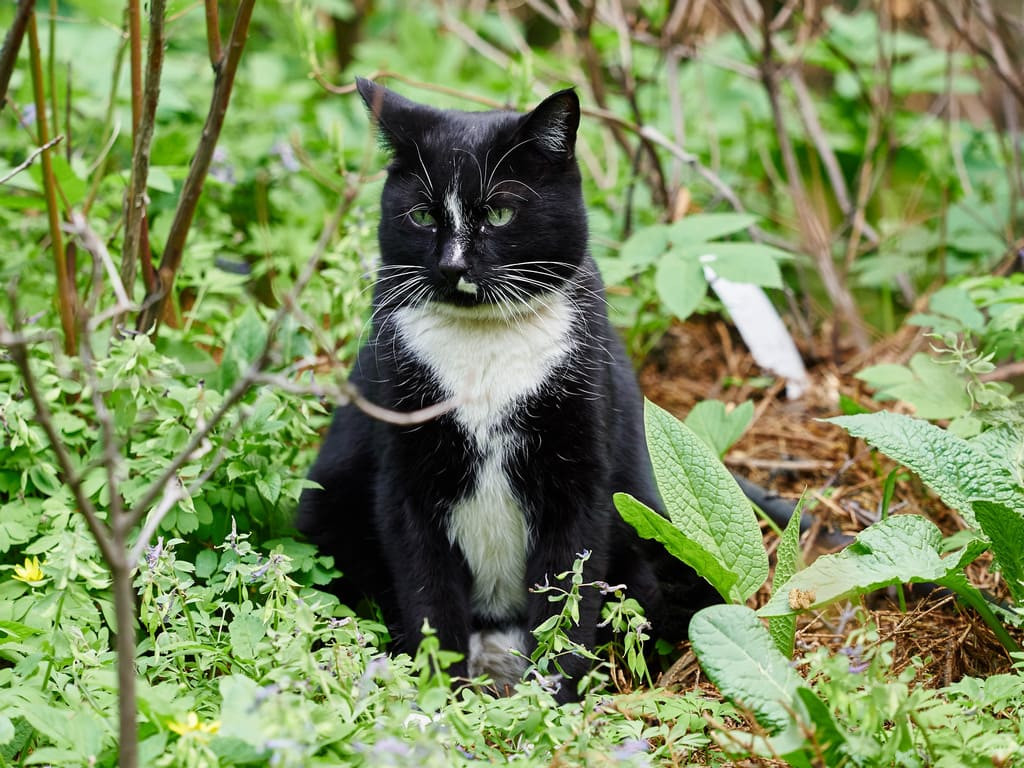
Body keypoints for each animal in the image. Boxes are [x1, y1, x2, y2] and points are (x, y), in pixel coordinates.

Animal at [296, 79, 712, 704]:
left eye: (498, 212)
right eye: (422, 215)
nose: (451, 267)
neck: (486, 350)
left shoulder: (580, 474)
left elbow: (569, 593)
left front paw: (554, 696)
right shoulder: (406, 472)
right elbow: (428, 593)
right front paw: (440, 694)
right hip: (324, 505)